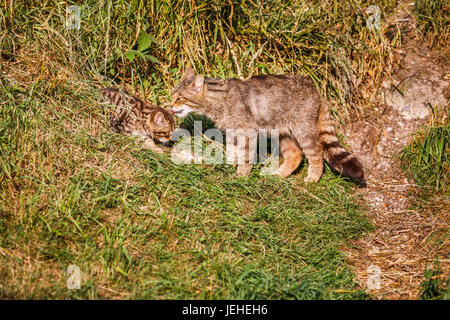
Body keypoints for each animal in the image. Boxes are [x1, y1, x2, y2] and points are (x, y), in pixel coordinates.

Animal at [171, 66, 364, 184]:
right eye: (173, 94)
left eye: (179, 98)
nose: (170, 105)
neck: (218, 101)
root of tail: (318, 92)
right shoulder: (232, 132)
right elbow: (234, 152)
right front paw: (230, 165)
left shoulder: (247, 131)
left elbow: (246, 156)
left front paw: (241, 176)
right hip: (283, 133)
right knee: (295, 155)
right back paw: (279, 175)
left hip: (303, 130)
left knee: (316, 153)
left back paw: (312, 178)